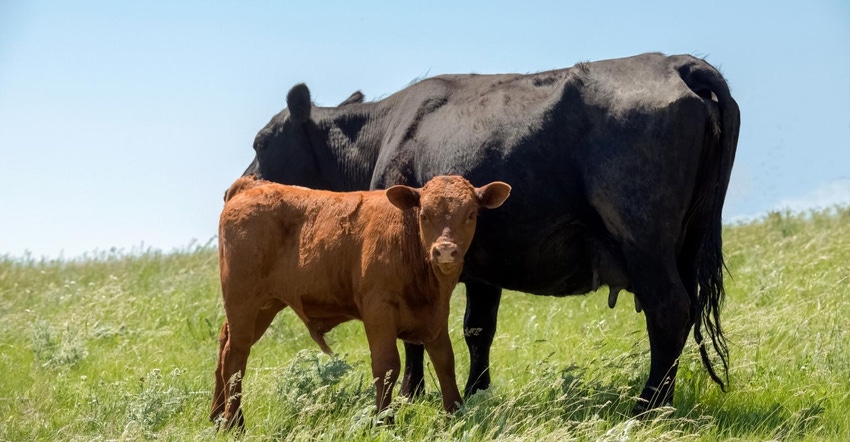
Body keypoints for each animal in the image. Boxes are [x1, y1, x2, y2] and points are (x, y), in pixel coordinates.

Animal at [210, 174, 510, 430]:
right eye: (424, 214)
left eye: (471, 214)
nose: (445, 251)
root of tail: (252, 185)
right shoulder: (378, 310)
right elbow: (387, 366)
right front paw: (384, 421)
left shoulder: (436, 315)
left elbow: (445, 362)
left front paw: (455, 414)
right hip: (243, 300)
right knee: (236, 356)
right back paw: (233, 423)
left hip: (264, 306)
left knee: (225, 346)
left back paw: (217, 417)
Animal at [238, 52, 736, 414]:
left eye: (261, 141)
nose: (241, 186)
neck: (382, 135)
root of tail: (675, 62)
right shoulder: (480, 266)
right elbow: (478, 329)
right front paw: (475, 394)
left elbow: (413, 332)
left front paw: (411, 396)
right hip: (686, 243)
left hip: (642, 234)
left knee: (668, 311)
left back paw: (646, 408)